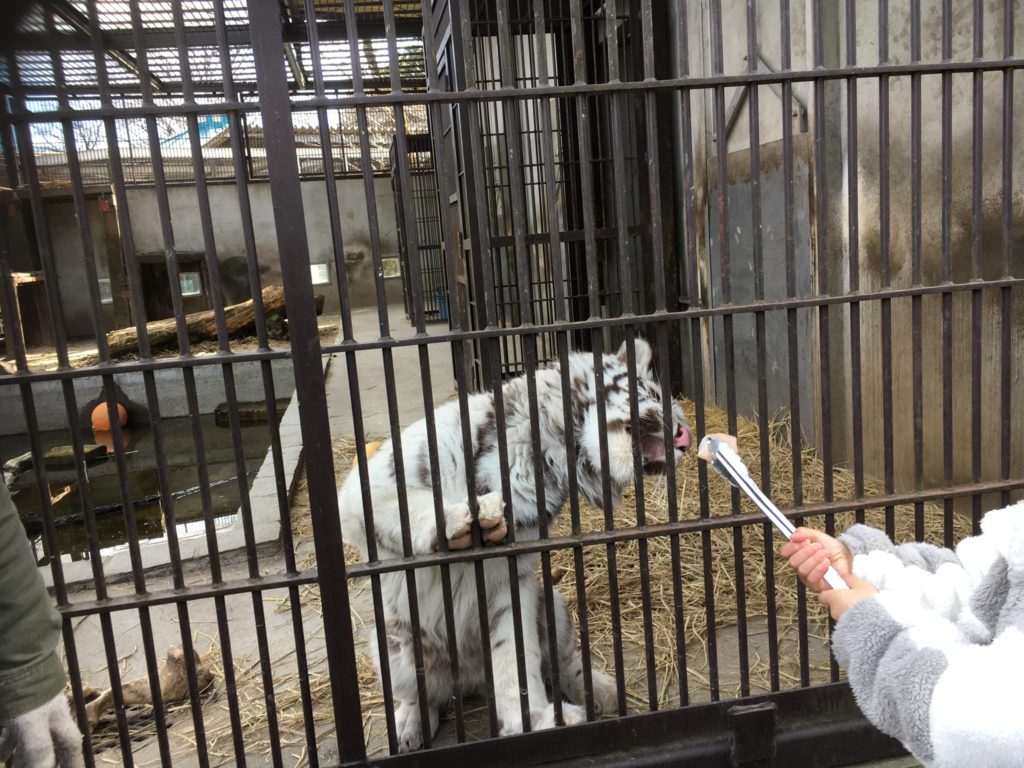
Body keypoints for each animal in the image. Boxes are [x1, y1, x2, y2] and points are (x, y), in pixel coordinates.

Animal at [339, 339, 692, 753]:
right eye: (654, 393)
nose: (685, 436)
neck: (548, 455)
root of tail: (470, 678)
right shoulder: (365, 487)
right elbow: (411, 503)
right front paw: (462, 519)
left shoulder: (511, 582)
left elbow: (516, 657)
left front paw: (534, 720)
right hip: (391, 646)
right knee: (418, 695)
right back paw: (410, 726)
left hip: (552, 606)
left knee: (563, 661)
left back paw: (599, 692)